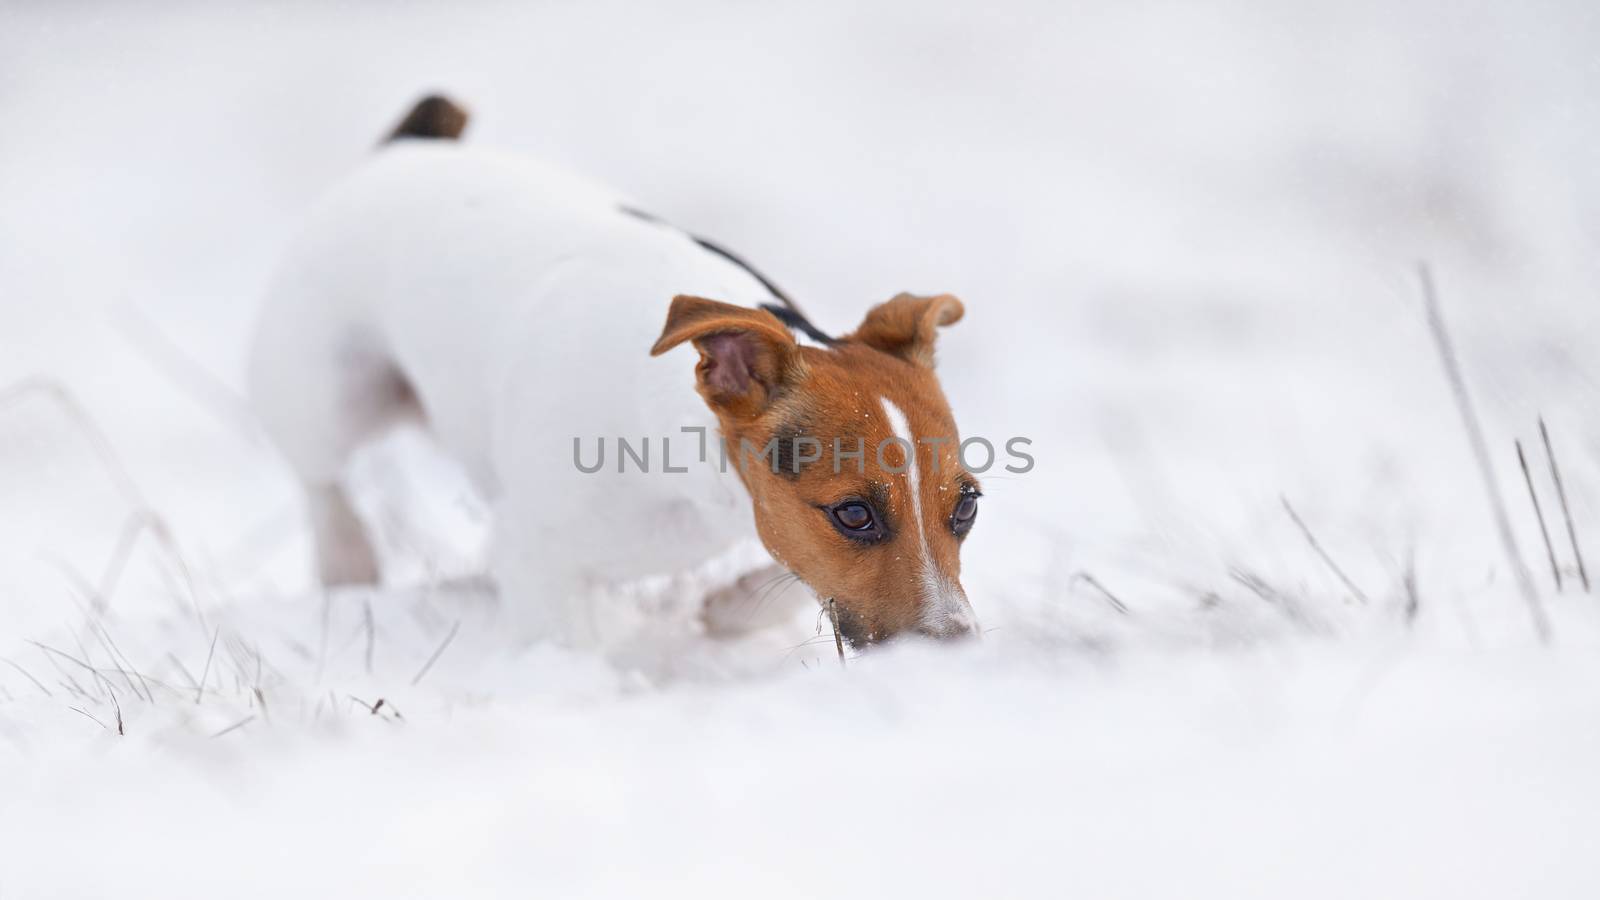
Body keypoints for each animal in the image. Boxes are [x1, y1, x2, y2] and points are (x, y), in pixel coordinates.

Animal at [248, 94, 972, 643]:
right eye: (853, 514)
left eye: (967, 507)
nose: (954, 646)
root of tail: (409, 147)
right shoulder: (534, 553)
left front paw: (733, 609)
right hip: (330, 391)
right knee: (320, 478)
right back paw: (347, 559)